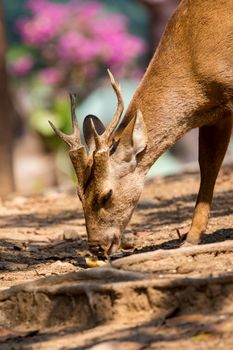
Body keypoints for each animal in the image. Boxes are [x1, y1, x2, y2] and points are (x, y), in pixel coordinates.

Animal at [49, 0, 233, 258]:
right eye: (78, 194)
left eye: (106, 194)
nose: (96, 247)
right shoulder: (217, 114)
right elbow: (208, 166)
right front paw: (190, 239)